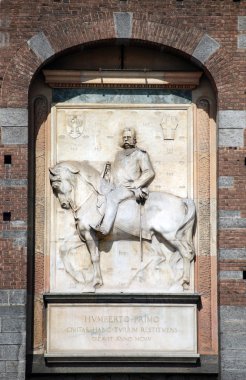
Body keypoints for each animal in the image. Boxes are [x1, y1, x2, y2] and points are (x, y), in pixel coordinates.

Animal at [49, 161, 196, 290]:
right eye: (53, 188)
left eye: (56, 185)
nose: (64, 205)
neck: (89, 201)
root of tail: (182, 200)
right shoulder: (84, 233)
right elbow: (63, 248)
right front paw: (80, 277)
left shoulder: (89, 234)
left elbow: (95, 257)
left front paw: (95, 283)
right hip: (156, 236)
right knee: (167, 256)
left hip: (170, 235)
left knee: (185, 253)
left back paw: (182, 282)